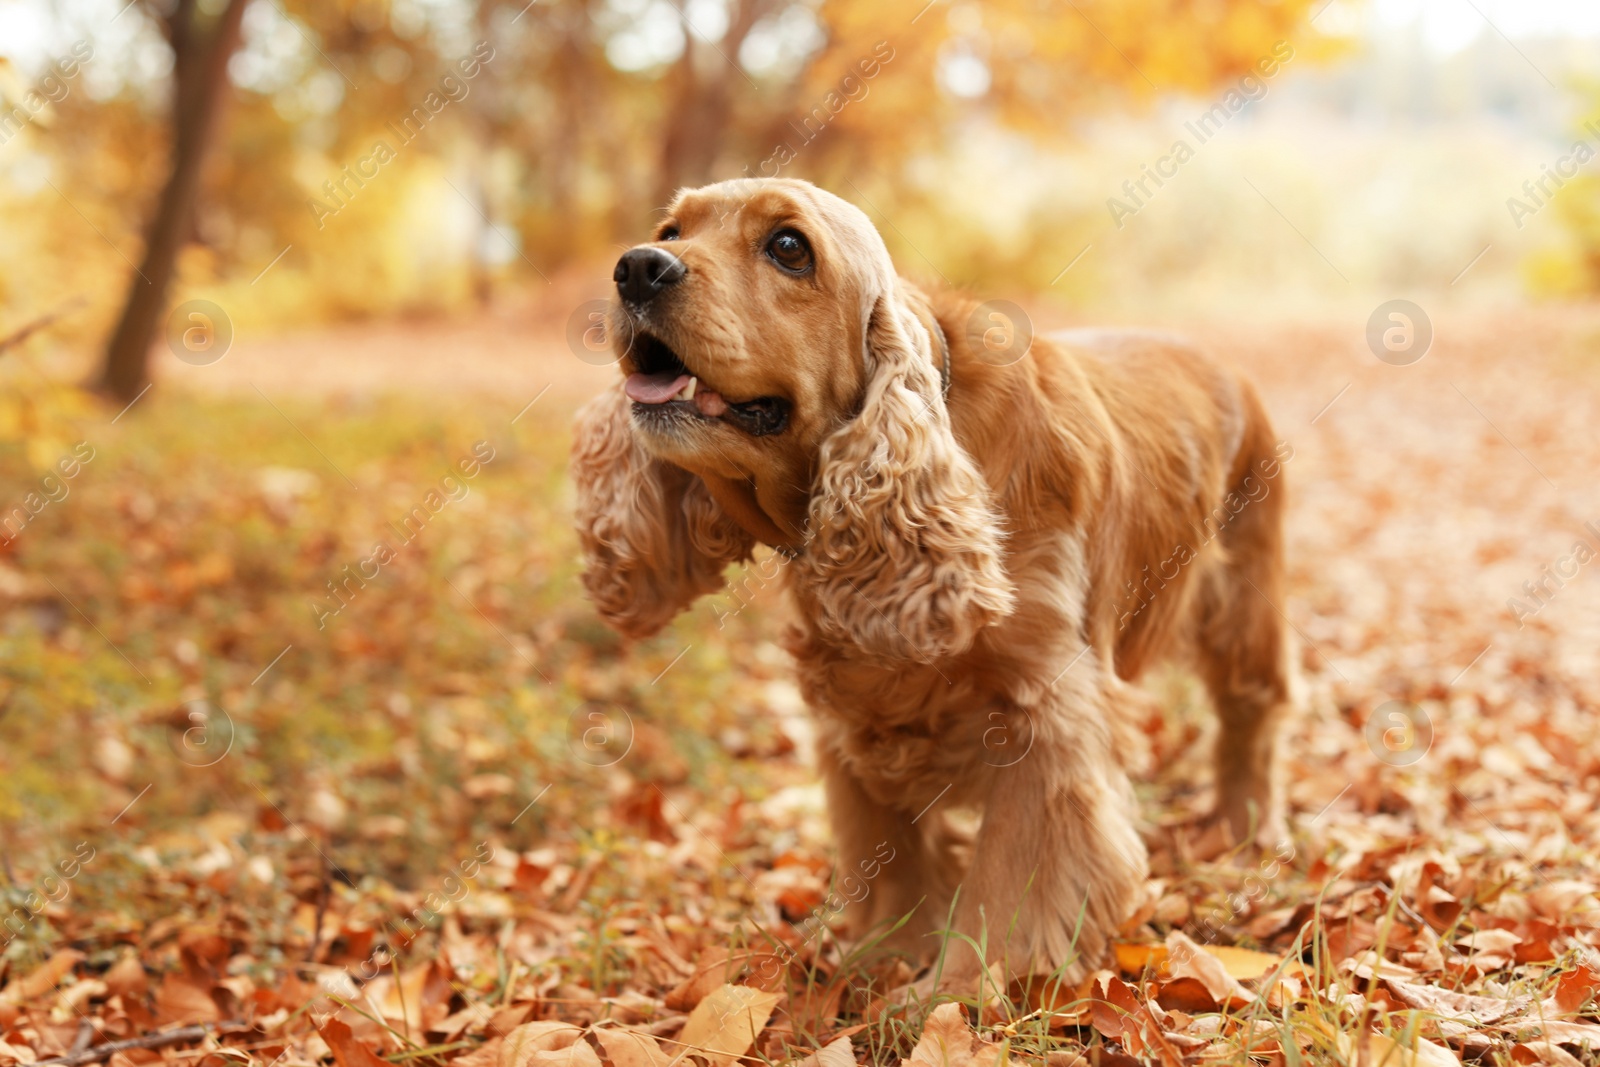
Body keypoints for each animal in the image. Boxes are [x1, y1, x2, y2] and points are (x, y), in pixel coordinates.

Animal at [569, 179, 1292, 991]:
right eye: (672, 229)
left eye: (789, 248)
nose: (637, 267)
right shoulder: (854, 714)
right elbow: (890, 854)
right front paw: (888, 959)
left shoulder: (1047, 714)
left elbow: (1010, 879)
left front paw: (965, 989)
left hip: (1244, 608)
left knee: (1253, 716)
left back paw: (1242, 832)